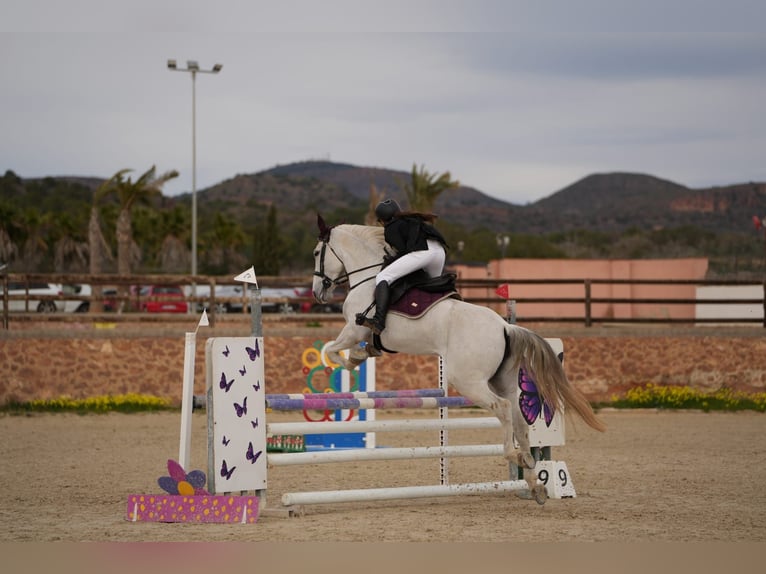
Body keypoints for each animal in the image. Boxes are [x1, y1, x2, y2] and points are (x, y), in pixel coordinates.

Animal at [310, 215, 608, 504]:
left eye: (315, 253)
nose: (316, 293)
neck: (369, 276)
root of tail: (504, 326)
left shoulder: (354, 329)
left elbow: (333, 351)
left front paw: (355, 358)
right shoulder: (357, 332)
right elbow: (342, 350)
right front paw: (364, 354)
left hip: (467, 381)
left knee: (501, 408)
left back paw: (515, 457)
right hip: (502, 380)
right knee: (517, 416)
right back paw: (534, 480)